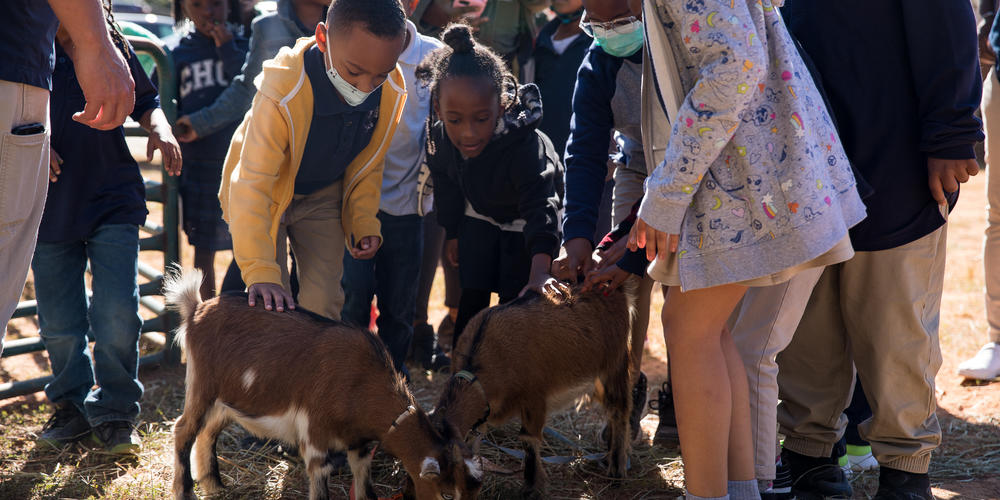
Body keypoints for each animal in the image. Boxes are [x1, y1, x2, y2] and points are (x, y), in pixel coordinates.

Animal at [165, 270, 484, 500]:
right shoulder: (315, 436)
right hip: (202, 385)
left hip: (227, 399)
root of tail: (196, 309)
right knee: (184, 429)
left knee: (208, 432)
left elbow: (365, 488)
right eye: (446, 494)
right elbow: (320, 487)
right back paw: (186, 491)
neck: (360, 381)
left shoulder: (359, 444)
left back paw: (215, 486)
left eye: (473, 493)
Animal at [434, 280, 636, 498]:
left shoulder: (534, 396)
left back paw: (616, 469)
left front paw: (532, 488)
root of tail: (616, 289)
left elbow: (528, 439)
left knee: (619, 410)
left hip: (614, 364)